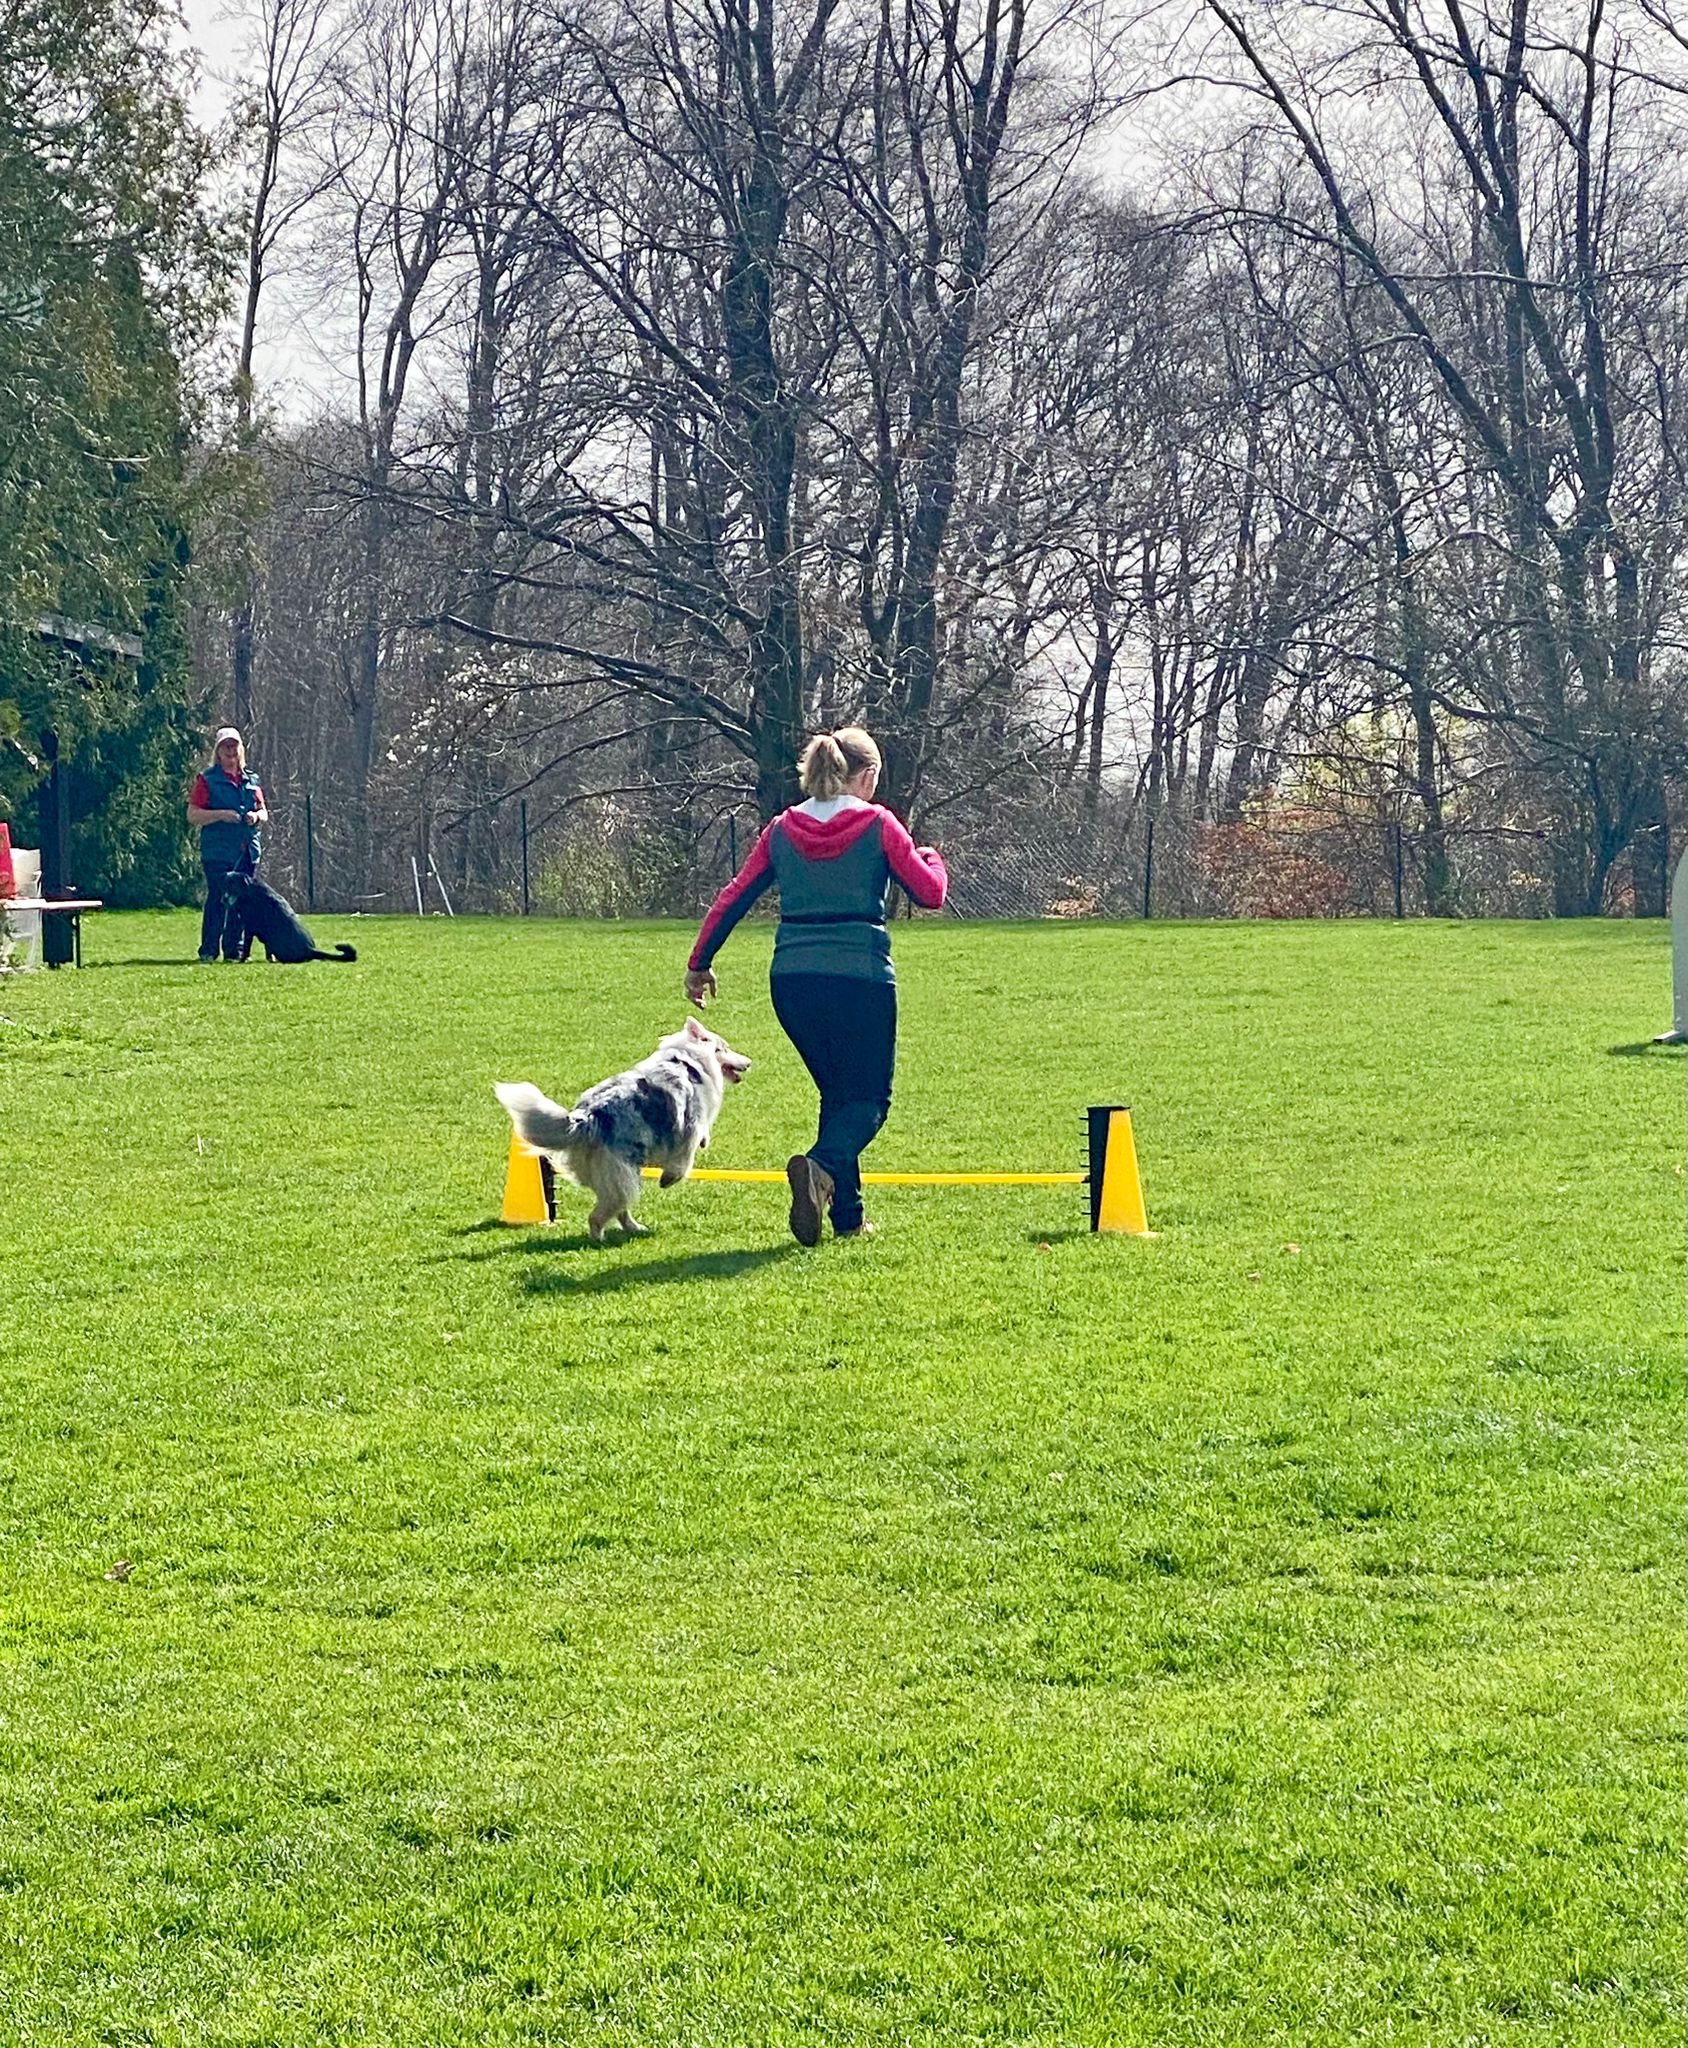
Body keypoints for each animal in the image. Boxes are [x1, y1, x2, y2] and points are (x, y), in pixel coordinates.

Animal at [495, 1017, 750, 1241]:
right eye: (724, 1048)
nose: (749, 1062)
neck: (690, 1061)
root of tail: (588, 1115)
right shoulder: (690, 1124)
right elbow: (685, 1158)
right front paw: (669, 1178)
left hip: (614, 1174)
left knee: (618, 1208)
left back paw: (634, 1228)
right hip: (622, 1172)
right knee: (600, 1214)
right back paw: (599, 1238)